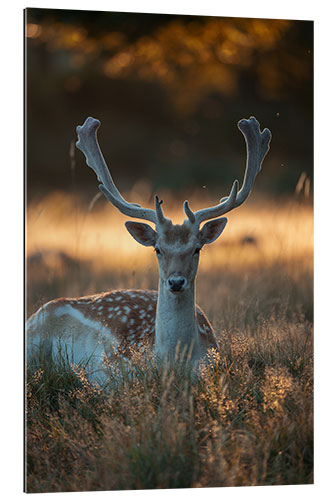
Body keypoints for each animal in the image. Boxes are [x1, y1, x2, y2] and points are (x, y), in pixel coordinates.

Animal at [26, 116, 270, 382]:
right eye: (158, 249)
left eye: (197, 249)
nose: (176, 282)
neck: (173, 362)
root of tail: (39, 311)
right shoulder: (109, 370)